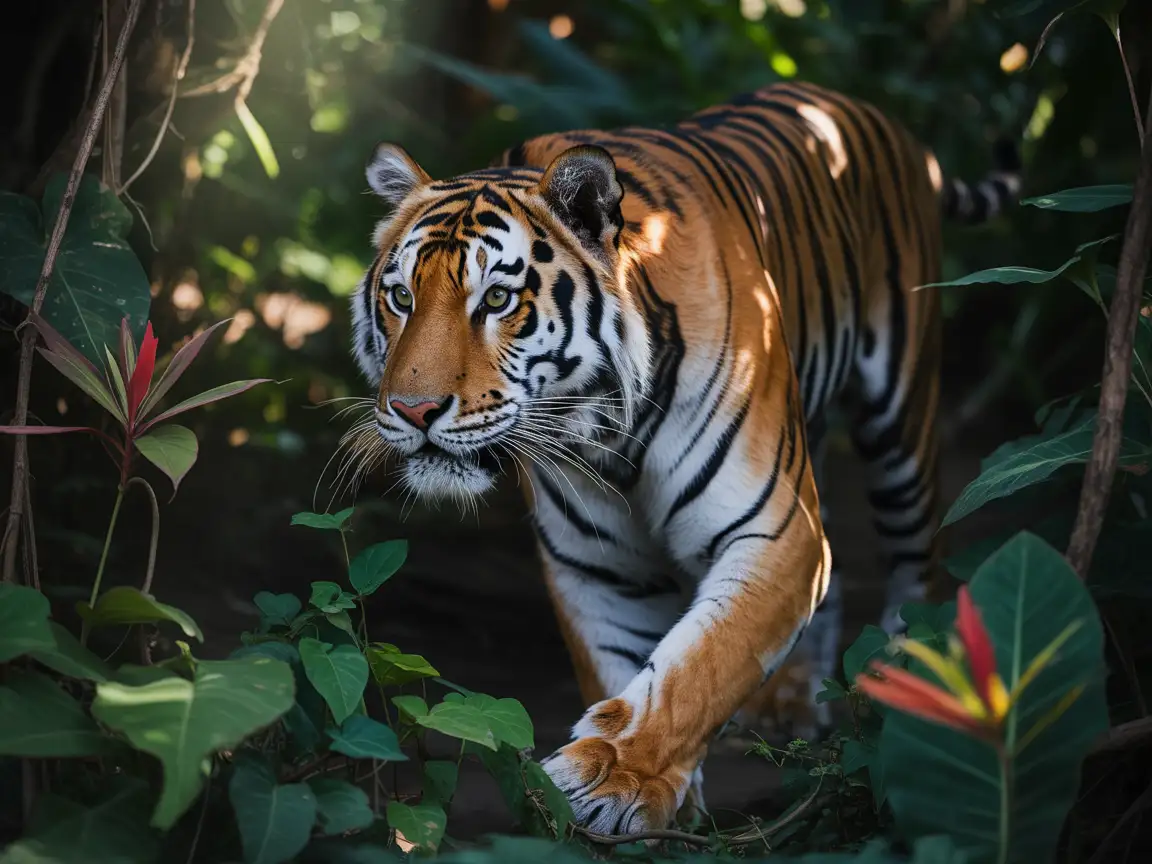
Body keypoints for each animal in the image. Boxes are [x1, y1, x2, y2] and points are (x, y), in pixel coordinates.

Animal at [349, 80, 1021, 836]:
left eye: (496, 298)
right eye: (401, 297)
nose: (414, 410)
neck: (608, 432)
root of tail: (863, 108)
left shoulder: (774, 530)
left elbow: (700, 666)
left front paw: (612, 782)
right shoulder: (597, 565)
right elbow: (625, 666)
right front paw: (656, 801)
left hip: (901, 421)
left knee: (918, 565)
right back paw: (791, 706)